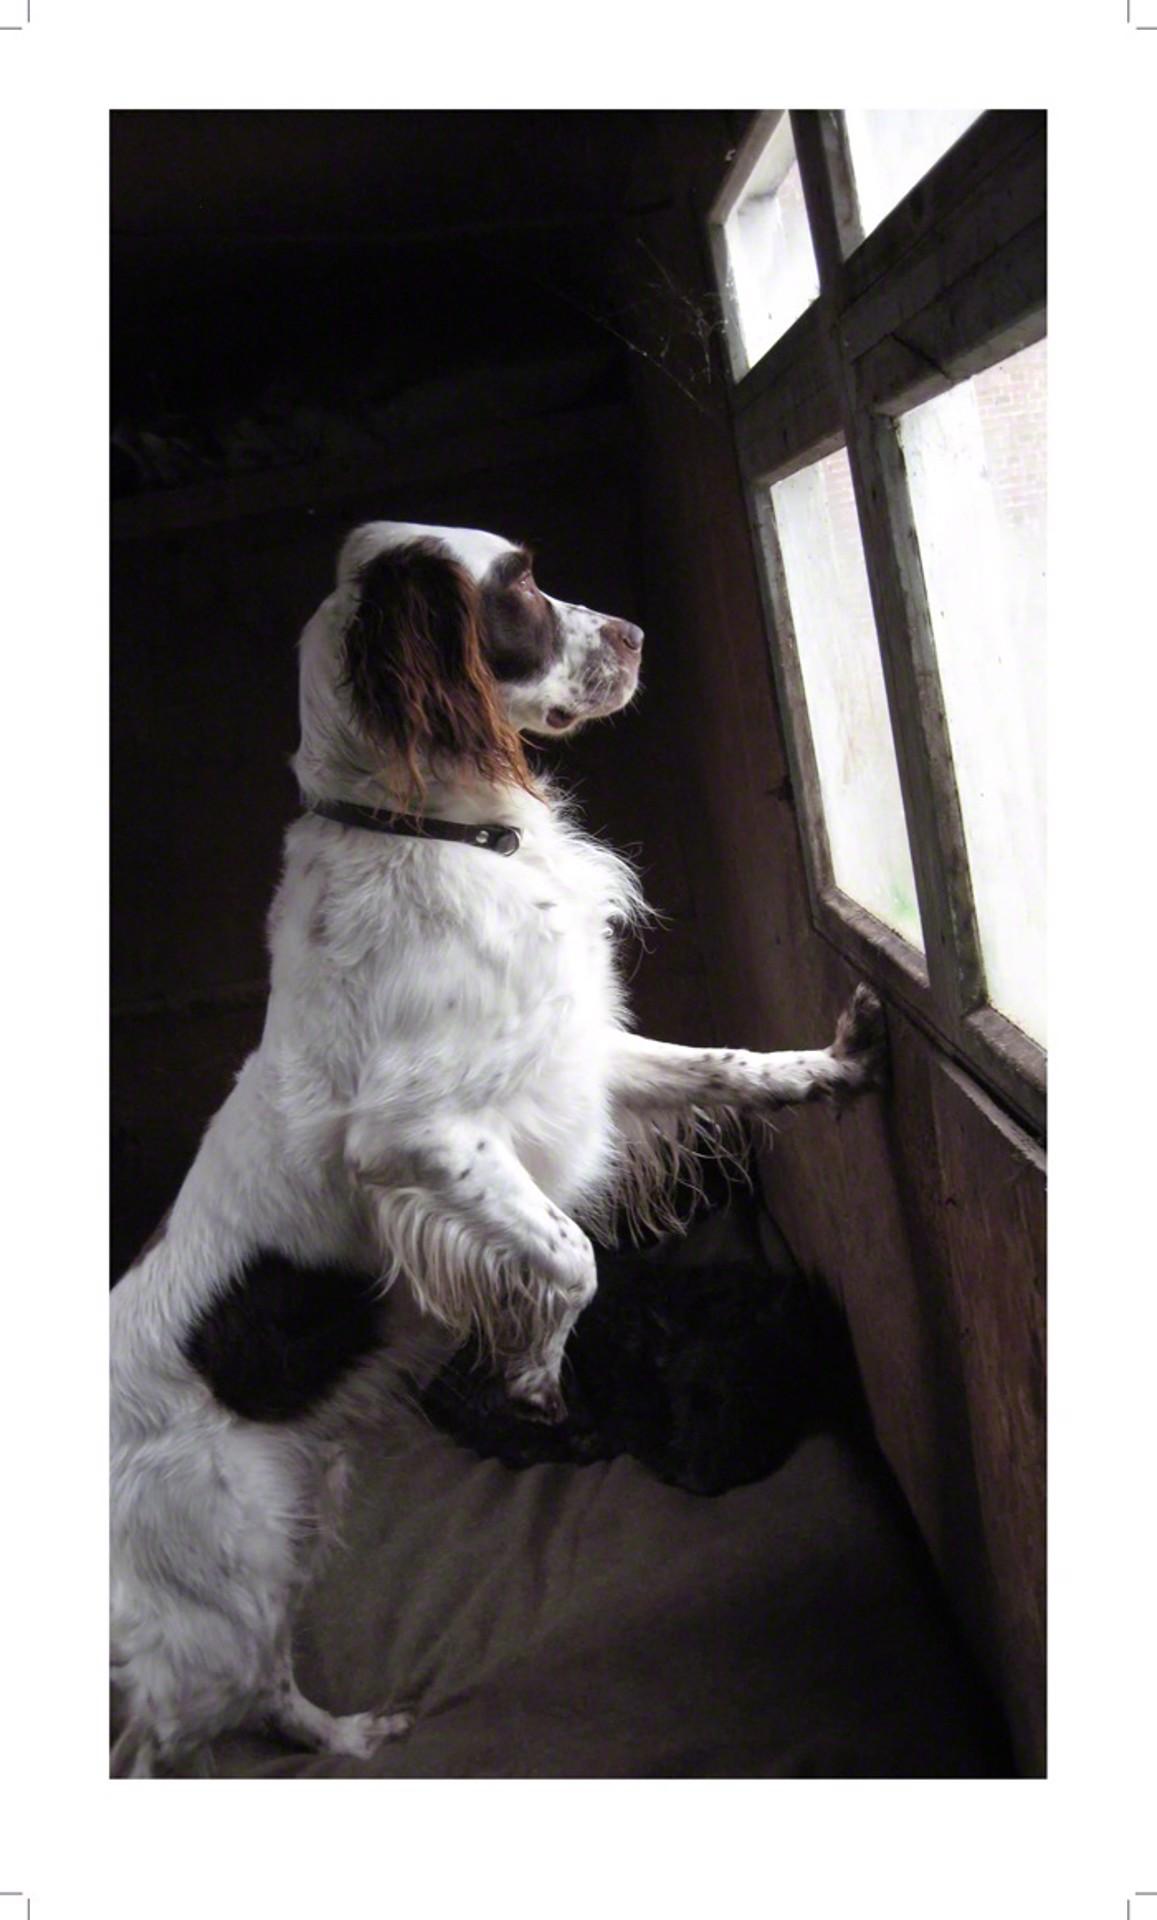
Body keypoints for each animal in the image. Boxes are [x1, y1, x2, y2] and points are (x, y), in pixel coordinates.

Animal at [110, 522, 886, 1766]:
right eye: (517, 584)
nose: (635, 632)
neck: (435, 828)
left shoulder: (582, 1063)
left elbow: (729, 1067)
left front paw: (836, 1062)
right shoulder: (415, 1142)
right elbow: (569, 1254)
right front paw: (531, 1371)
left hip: (283, 1531)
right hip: (214, 1600)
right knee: (203, 1720)